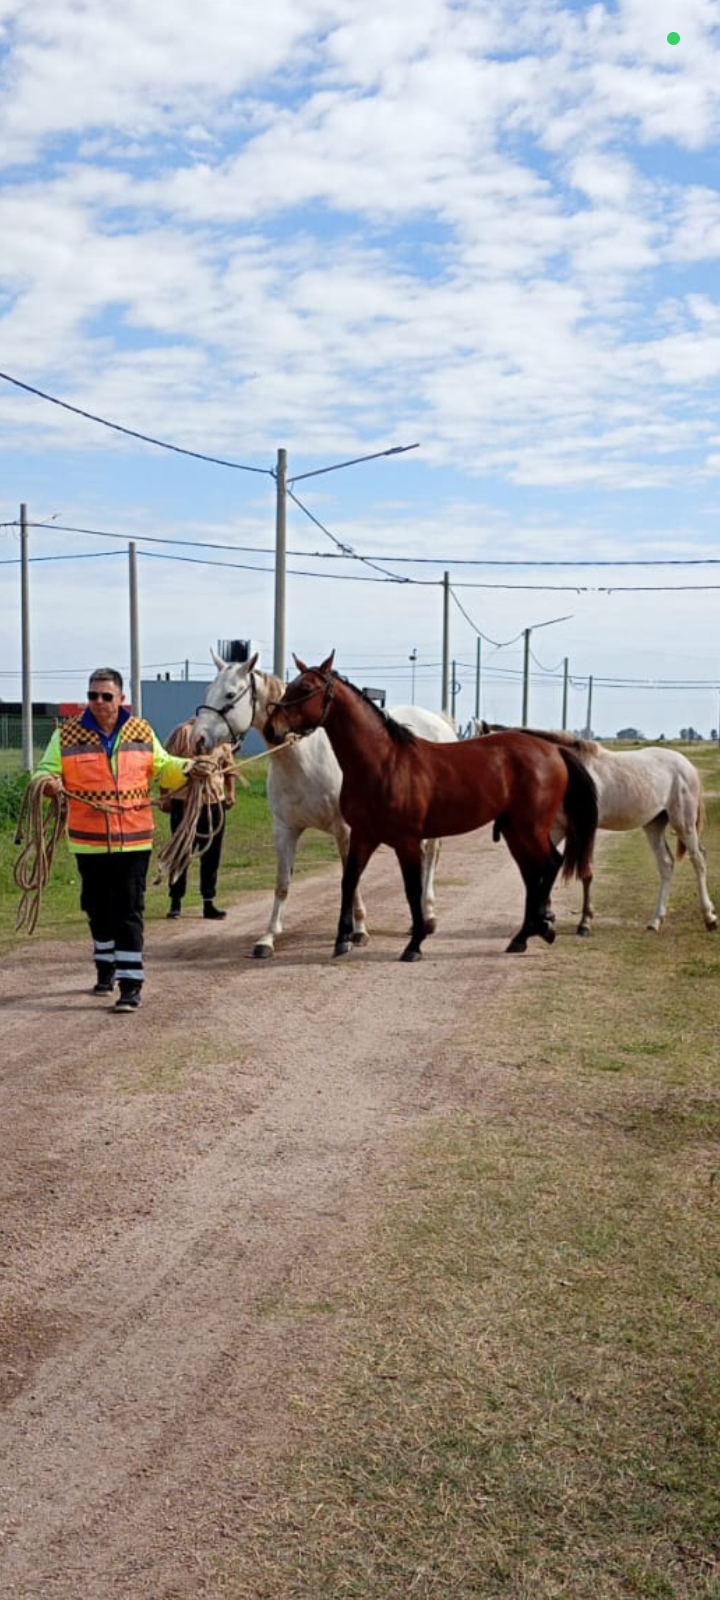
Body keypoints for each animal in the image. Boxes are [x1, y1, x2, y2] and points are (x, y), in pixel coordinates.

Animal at [191, 649, 458, 957]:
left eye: (230, 694)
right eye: (208, 690)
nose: (198, 738)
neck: (304, 759)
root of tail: (440, 723)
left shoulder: (346, 830)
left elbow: (351, 879)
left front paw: (357, 932)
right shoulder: (284, 829)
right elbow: (282, 884)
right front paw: (268, 938)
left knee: (432, 856)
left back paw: (428, 916)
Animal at [263, 653, 599, 959]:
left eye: (306, 688)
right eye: (289, 686)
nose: (270, 728)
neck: (383, 763)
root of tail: (554, 751)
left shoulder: (407, 841)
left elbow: (412, 889)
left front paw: (414, 944)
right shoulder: (362, 835)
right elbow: (349, 881)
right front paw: (343, 938)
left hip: (530, 827)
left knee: (551, 864)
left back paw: (540, 927)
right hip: (516, 830)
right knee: (533, 873)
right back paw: (525, 935)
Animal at [478, 723, 717, 936]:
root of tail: (686, 764)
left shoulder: (586, 830)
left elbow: (587, 874)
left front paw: (584, 923)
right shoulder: (556, 829)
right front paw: (547, 917)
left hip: (683, 822)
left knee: (698, 860)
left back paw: (709, 918)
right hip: (654, 824)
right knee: (666, 864)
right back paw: (655, 921)